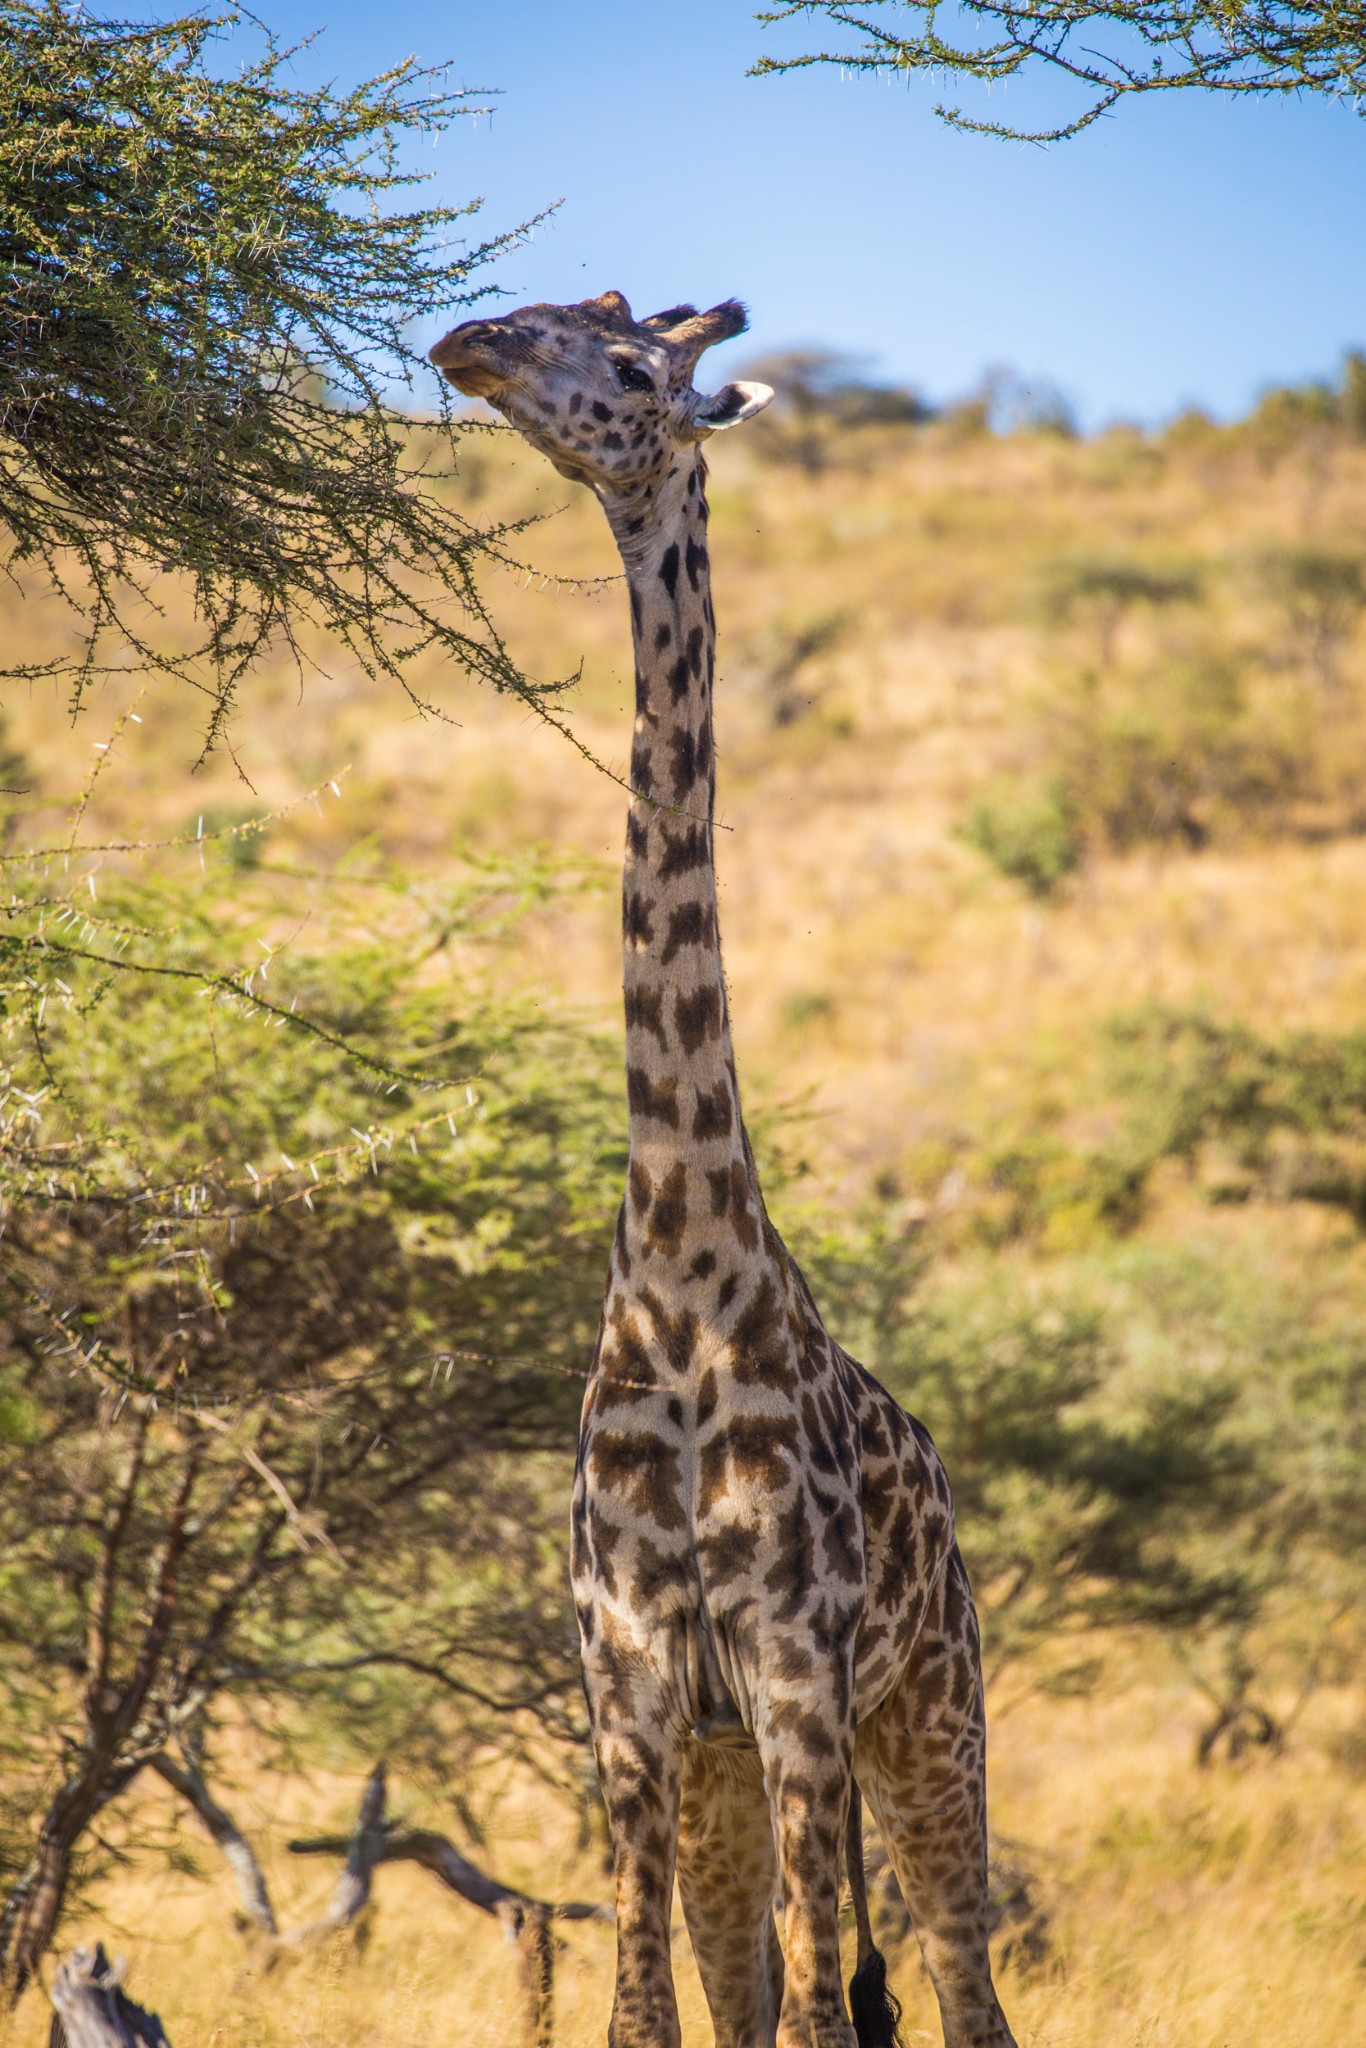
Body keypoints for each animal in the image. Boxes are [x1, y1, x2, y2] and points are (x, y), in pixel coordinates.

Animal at [432, 288, 1019, 2048]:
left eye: (631, 369)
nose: (467, 343)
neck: (683, 1276)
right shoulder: (629, 1685)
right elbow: (650, 2010)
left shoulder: (794, 1677)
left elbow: (828, 2010)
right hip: (725, 1769)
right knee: (759, 1983)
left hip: (931, 1713)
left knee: (958, 1982)